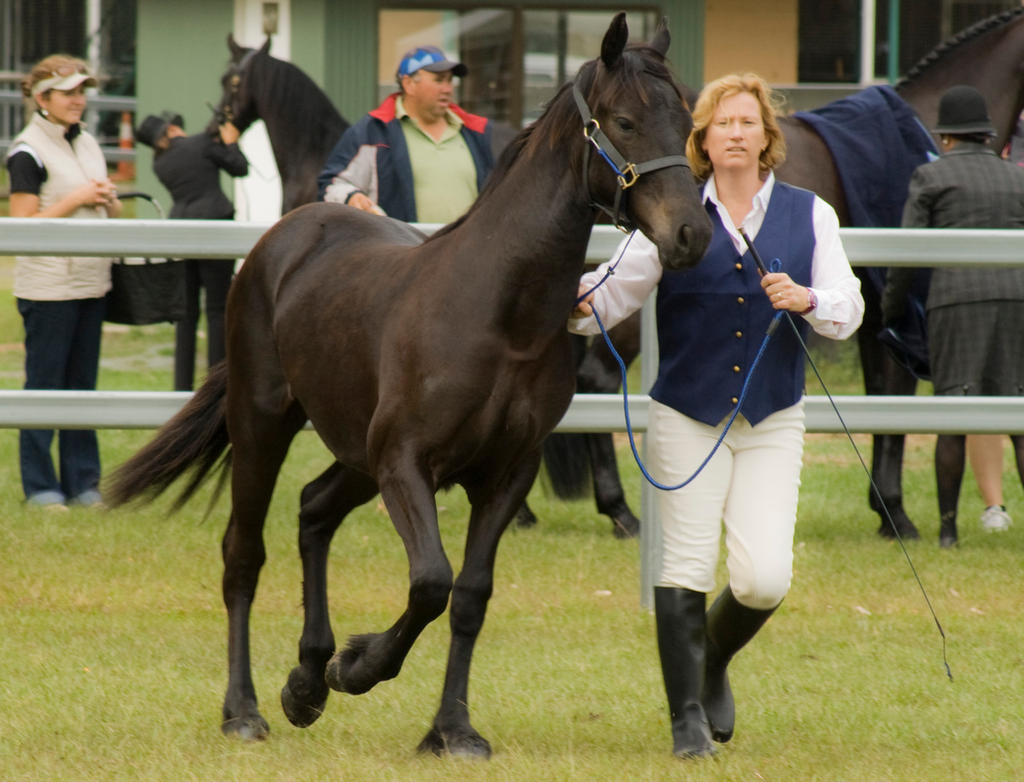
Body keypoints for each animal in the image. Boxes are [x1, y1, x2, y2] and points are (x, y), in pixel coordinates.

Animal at [105, 13, 712, 757]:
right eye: (624, 121)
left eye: (685, 120)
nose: (691, 233)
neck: (497, 311)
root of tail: (286, 235)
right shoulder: (405, 463)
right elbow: (430, 583)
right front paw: (358, 667)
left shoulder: (505, 472)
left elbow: (470, 596)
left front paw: (450, 729)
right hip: (264, 426)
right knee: (243, 555)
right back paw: (245, 709)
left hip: (353, 454)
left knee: (313, 511)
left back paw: (304, 682)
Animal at [557, 6, 1024, 540]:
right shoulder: (902, 306)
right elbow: (896, 397)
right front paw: (897, 513)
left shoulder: (873, 307)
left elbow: (882, 395)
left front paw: (885, 507)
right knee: (597, 376)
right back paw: (620, 510)